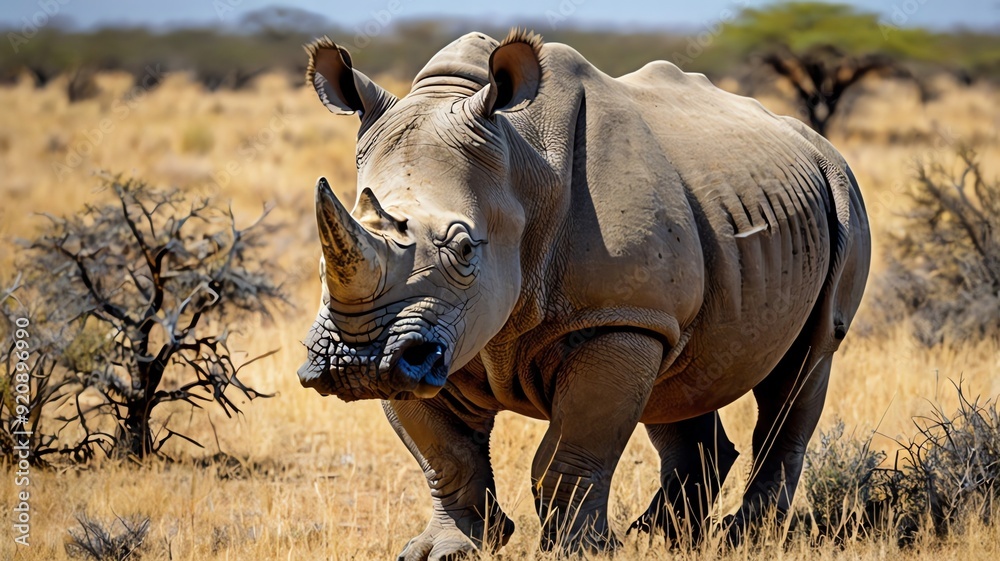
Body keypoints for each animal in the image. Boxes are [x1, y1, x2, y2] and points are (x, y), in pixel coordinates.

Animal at [297, 29, 871, 558]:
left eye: (463, 249)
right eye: (321, 265)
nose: (354, 364)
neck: (520, 167)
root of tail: (812, 141)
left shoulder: (615, 319)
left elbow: (567, 454)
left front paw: (581, 551)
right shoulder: (431, 337)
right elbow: (446, 455)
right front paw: (447, 549)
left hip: (842, 187)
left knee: (808, 361)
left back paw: (746, 538)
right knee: (681, 380)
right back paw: (668, 538)